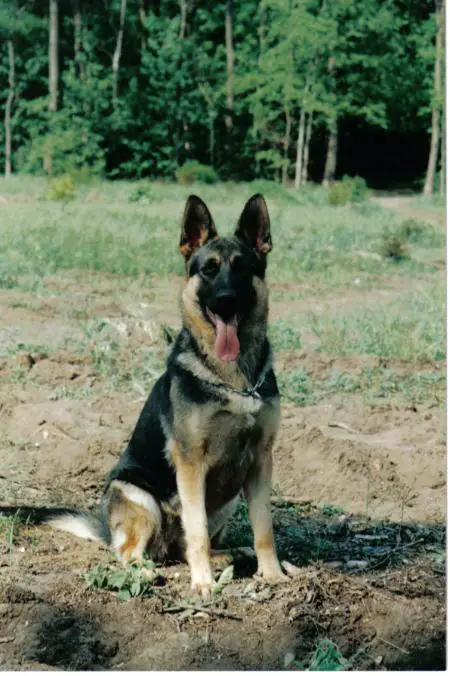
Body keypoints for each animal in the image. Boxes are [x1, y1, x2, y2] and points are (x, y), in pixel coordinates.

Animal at [1, 193, 286, 596]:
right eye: (209, 270)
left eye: (244, 269)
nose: (226, 300)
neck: (234, 379)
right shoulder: (191, 464)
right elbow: (197, 531)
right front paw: (202, 583)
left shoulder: (261, 460)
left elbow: (264, 528)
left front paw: (272, 573)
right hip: (141, 497)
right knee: (132, 552)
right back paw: (152, 571)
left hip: (227, 502)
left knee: (187, 546)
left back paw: (231, 554)